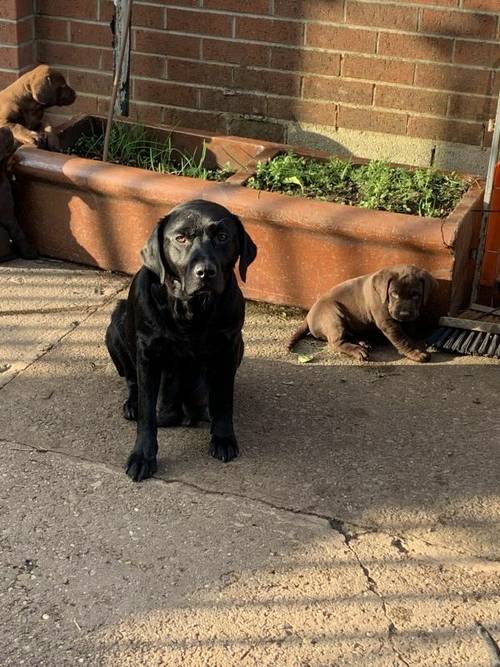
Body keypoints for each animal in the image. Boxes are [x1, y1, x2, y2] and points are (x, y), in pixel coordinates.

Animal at [104, 197, 256, 480]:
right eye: (181, 238)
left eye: (222, 236)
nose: (205, 272)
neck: (191, 312)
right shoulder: (147, 354)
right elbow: (147, 414)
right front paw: (142, 456)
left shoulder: (228, 347)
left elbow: (224, 400)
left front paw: (223, 438)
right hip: (115, 328)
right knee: (132, 382)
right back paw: (131, 404)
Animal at [290, 264, 438, 362]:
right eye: (394, 294)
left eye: (416, 295)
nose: (404, 314)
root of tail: (308, 316)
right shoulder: (388, 322)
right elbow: (402, 339)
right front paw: (415, 352)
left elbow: (408, 332)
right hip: (333, 315)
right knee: (335, 342)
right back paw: (358, 350)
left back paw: (363, 342)